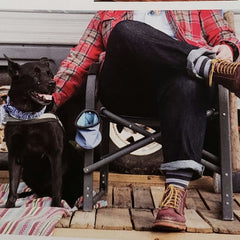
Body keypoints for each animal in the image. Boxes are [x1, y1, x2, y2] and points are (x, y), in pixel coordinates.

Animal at [2, 55, 83, 208]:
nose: (53, 83)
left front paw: (57, 207)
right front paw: (9, 206)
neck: (28, 114)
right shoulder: (14, 154)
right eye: (35, 74)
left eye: (50, 74)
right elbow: (12, 186)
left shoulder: (55, 152)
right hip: (26, 173)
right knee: (38, 192)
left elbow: (57, 184)